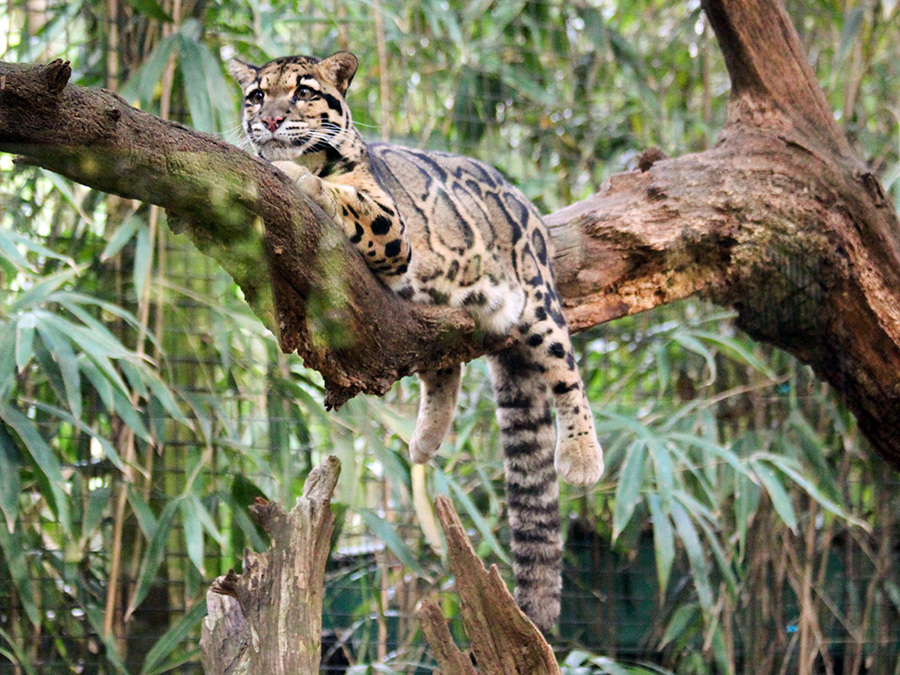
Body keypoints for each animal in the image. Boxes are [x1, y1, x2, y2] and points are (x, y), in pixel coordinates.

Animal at [230, 50, 604, 632]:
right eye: (256, 95)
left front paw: (296, 176)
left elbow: (341, 197)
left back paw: (583, 455)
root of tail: (528, 206)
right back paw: (425, 440)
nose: (268, 121)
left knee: (566, 371)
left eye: (303, 91)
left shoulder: (392, 229)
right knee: (442, 363)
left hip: (539, 297)